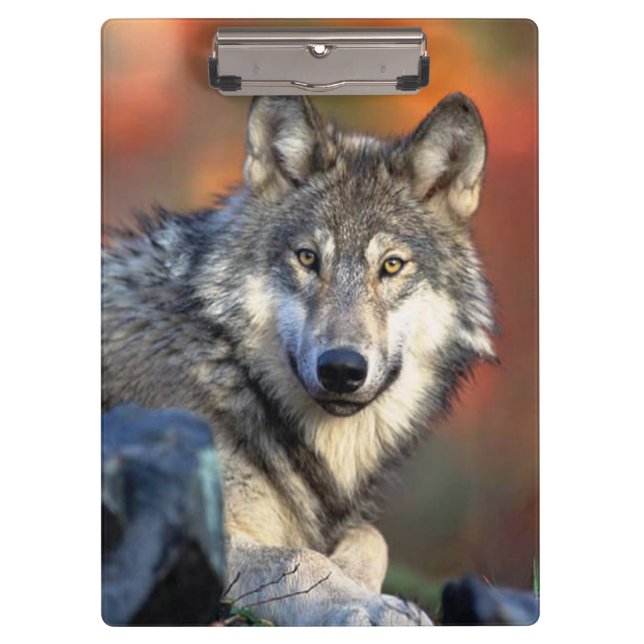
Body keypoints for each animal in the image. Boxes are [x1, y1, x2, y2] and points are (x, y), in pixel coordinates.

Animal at [102, 92, 495, 626]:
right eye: (308, 258)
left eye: (391, 265)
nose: (342, 369)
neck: (232, 371)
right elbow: (300, 559)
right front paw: (372, 606)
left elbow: (372, 537)